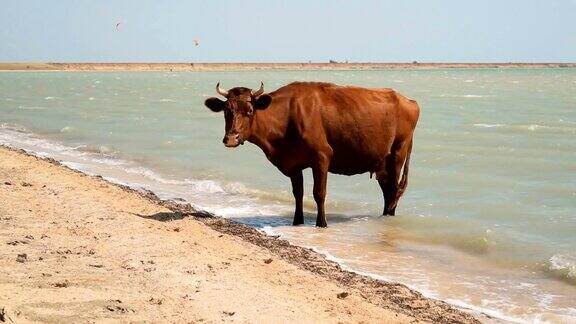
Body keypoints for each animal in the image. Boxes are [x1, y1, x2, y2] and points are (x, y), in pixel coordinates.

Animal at [205, 81, 420, 228]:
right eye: (226, 110)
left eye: (250, 111)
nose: (231, 138)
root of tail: (409, 100)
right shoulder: (292, 163)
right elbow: (298, 193)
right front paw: (297, 221)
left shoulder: (321, 157)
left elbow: (319, 193)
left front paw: (321, 223)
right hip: (381, 162)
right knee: (388, 192)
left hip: (398, 154)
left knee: (393, 191)